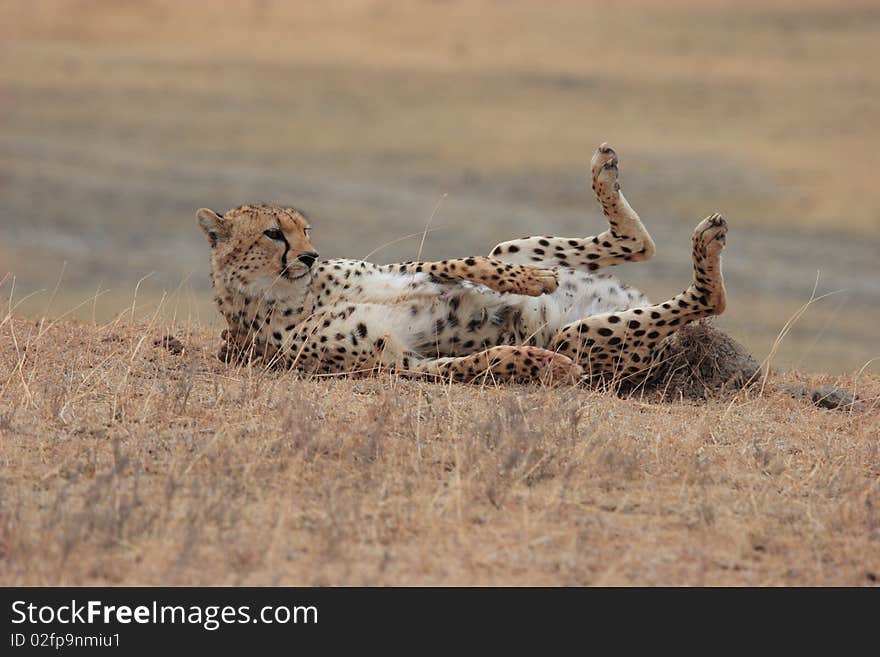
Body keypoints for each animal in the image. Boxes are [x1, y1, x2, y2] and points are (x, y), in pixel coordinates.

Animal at [198, 144, 728, 384]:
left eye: (305, 230)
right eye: (273, 234)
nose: (309, 256)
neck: (294, 294)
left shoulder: (407, 270)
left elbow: (461, 264)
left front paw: (531, 281)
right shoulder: (401, 363)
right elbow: (484, 360)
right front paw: (541, 363)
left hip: (512, 247)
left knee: (640, 244)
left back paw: (605, 173)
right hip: (585, 338)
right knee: (709, 298)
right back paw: (706, 245)